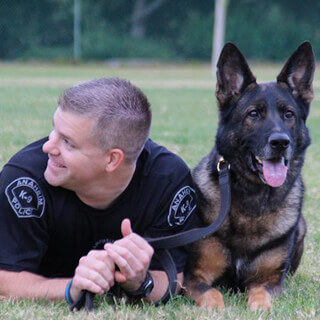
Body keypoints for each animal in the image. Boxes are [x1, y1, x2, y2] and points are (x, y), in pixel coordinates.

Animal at [185, 41, 316, 312]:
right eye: (253, 114)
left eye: (289, 114)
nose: (280, 143)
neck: (252, 201)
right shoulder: (194, 276)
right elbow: (212, 295)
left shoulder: (268, 281)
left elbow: (261, 298)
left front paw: (260, 308)